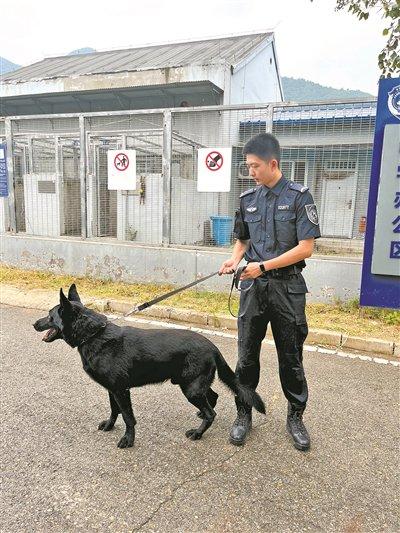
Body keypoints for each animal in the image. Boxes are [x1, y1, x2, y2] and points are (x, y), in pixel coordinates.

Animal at [33, 284, 266, 446]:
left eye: (49, 316)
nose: (34, 324)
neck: (93, 335)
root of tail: (212, 346)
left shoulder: (121, 391)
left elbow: (128, 417)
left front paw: (128, 440)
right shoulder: (112, 390)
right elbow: (114, 411)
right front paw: (109, 425)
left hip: (190, 388)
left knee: (211, 412)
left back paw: (198, 433)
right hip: (192, 384)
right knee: (213, 398)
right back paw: (201, 417)